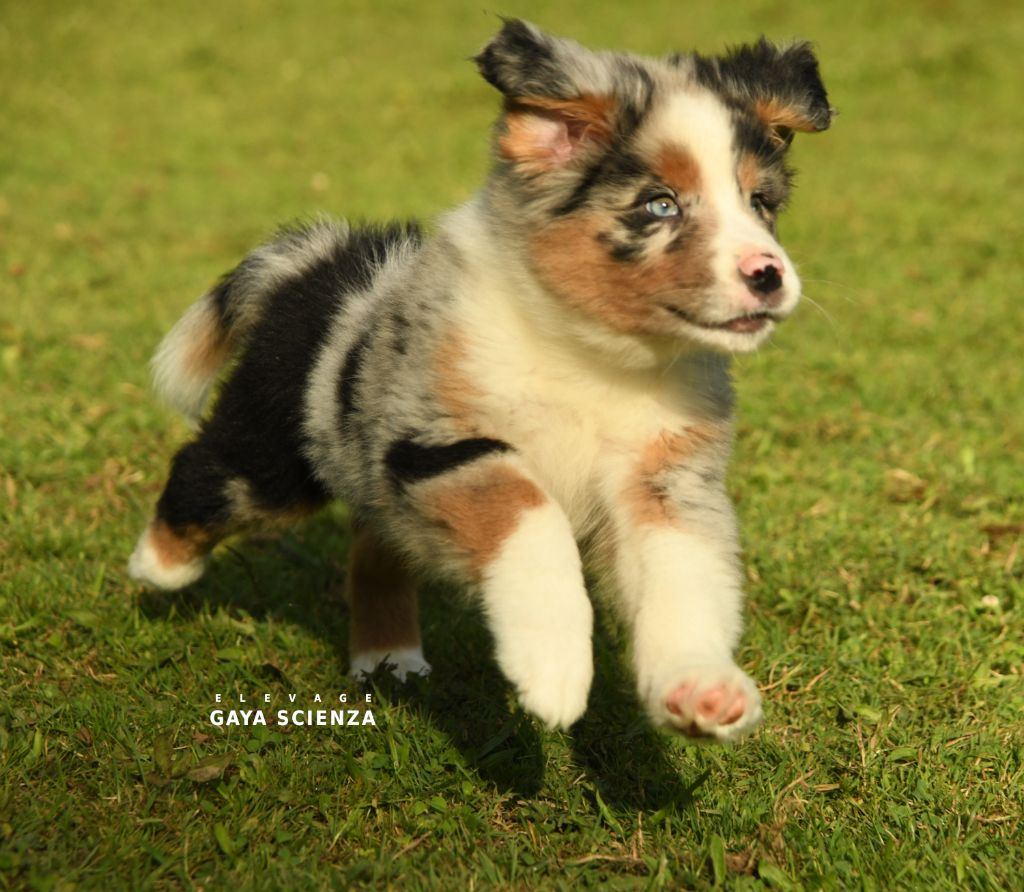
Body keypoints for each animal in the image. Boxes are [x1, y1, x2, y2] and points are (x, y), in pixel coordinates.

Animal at [128, 22, 831, 745]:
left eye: (760, 203)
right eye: (659, 205)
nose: (769, 275)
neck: (594, 356)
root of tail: (327, 267)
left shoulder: (664, 479)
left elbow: (683, 582)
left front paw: (700, 688)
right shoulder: (440, 442)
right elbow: (529, 512)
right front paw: (552, 668)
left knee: (375, 543)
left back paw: (386, 654)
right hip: (276, 453)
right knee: (207, 470)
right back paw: (159, 565)